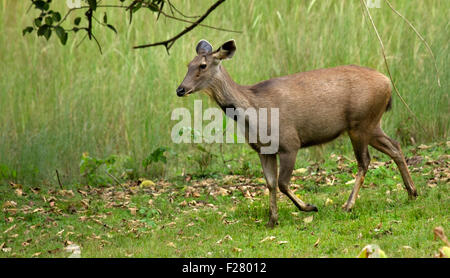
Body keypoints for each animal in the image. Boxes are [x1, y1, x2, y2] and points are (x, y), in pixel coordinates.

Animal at [176, 40, 418, 227]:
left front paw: (309, 207)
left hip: (361, 123)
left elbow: (282, 183)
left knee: (365, 161)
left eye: (203, 65)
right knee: (395, 146)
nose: (180, 89)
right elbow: (270, 183)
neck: (253, 111)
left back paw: (348, 205)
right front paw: (272, 220)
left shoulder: (290, 143)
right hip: (370, 124)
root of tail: (388, 83)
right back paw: (412, 192)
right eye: (188, 64)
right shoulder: (263, 150)